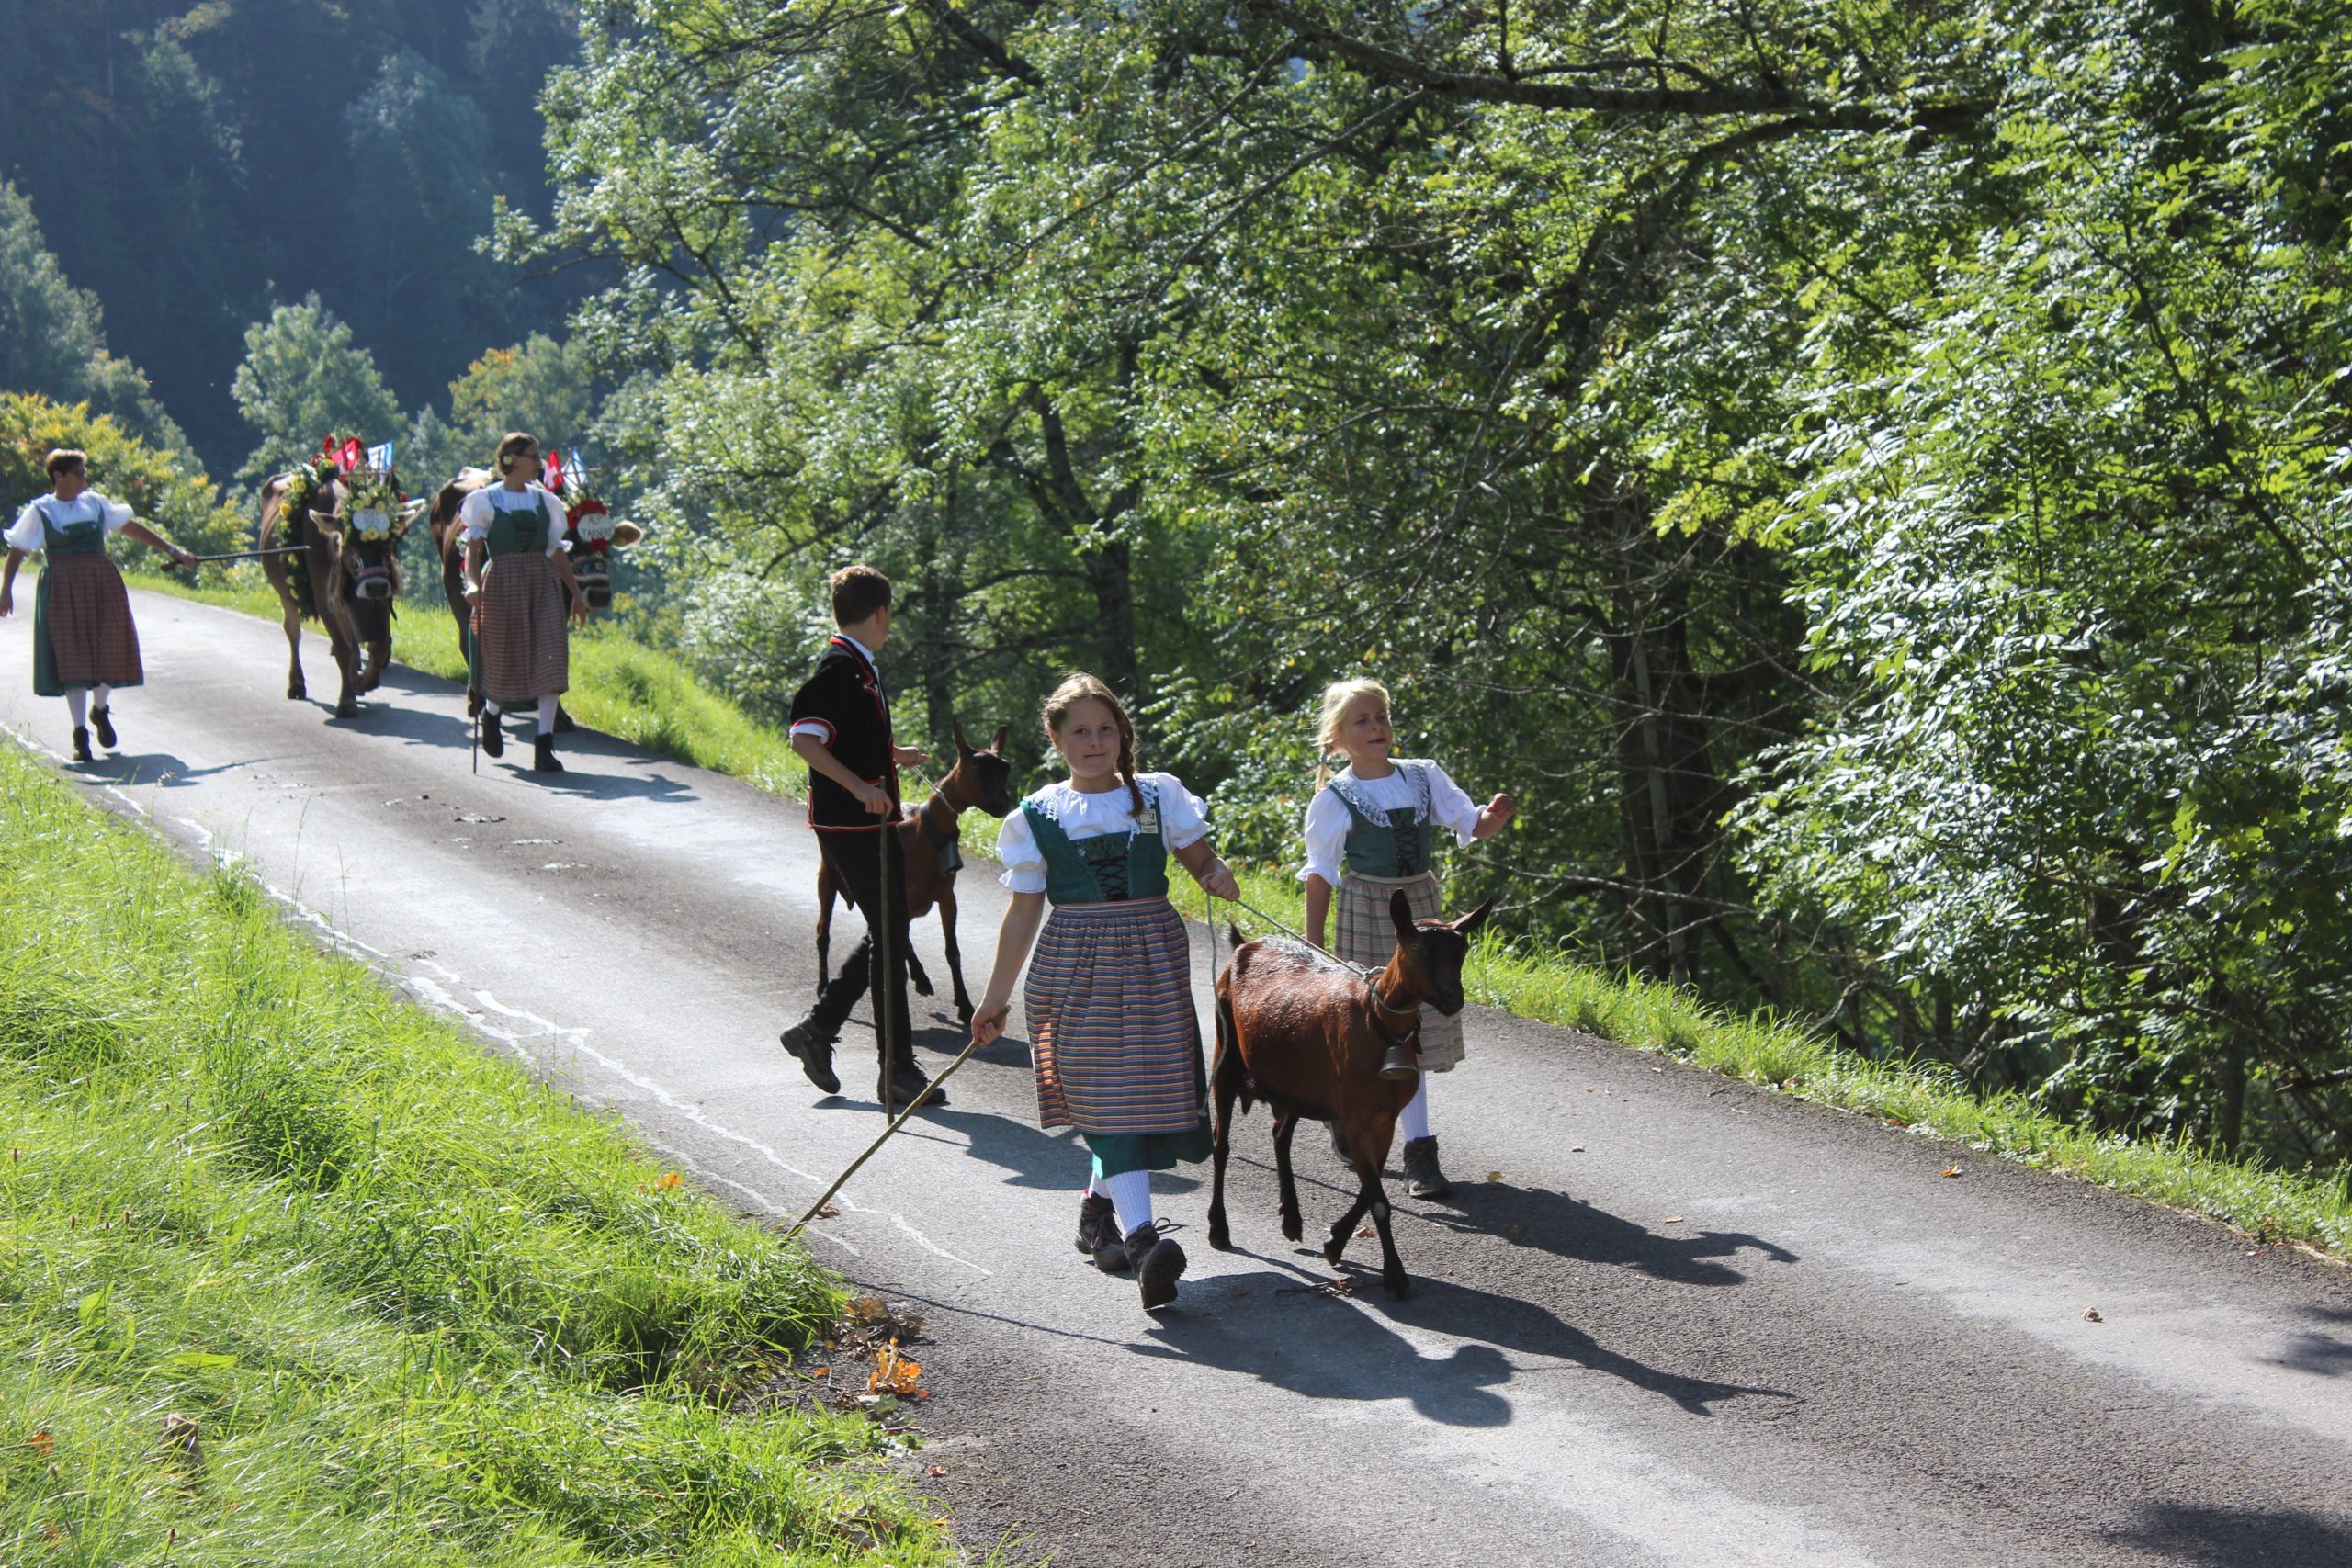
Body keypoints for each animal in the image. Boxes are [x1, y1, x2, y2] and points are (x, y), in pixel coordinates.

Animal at [260, 463, 427, 718]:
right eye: (350, 543)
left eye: (388, 543)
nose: (375, 585)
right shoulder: (325, 599)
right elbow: (343, 649)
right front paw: (347, 701)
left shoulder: (379, 596)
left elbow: (378, 647)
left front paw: (364, 682)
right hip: (288, 593)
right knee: (293, 630)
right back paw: (296, 683)